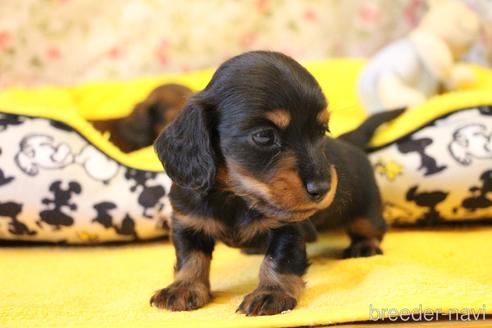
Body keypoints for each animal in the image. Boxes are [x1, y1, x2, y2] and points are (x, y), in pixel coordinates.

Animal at [152, 50, 386, 316]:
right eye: (264, 136)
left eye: (323, 130)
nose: (323, 188)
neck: (236, 197)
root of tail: (351, 143)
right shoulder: (187, 223)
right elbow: (190, 259)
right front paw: (183, 287)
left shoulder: (288, 229)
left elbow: (278, 261)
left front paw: (271, 293)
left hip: (366, 211)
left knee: (371, 228)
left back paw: (364, 246)